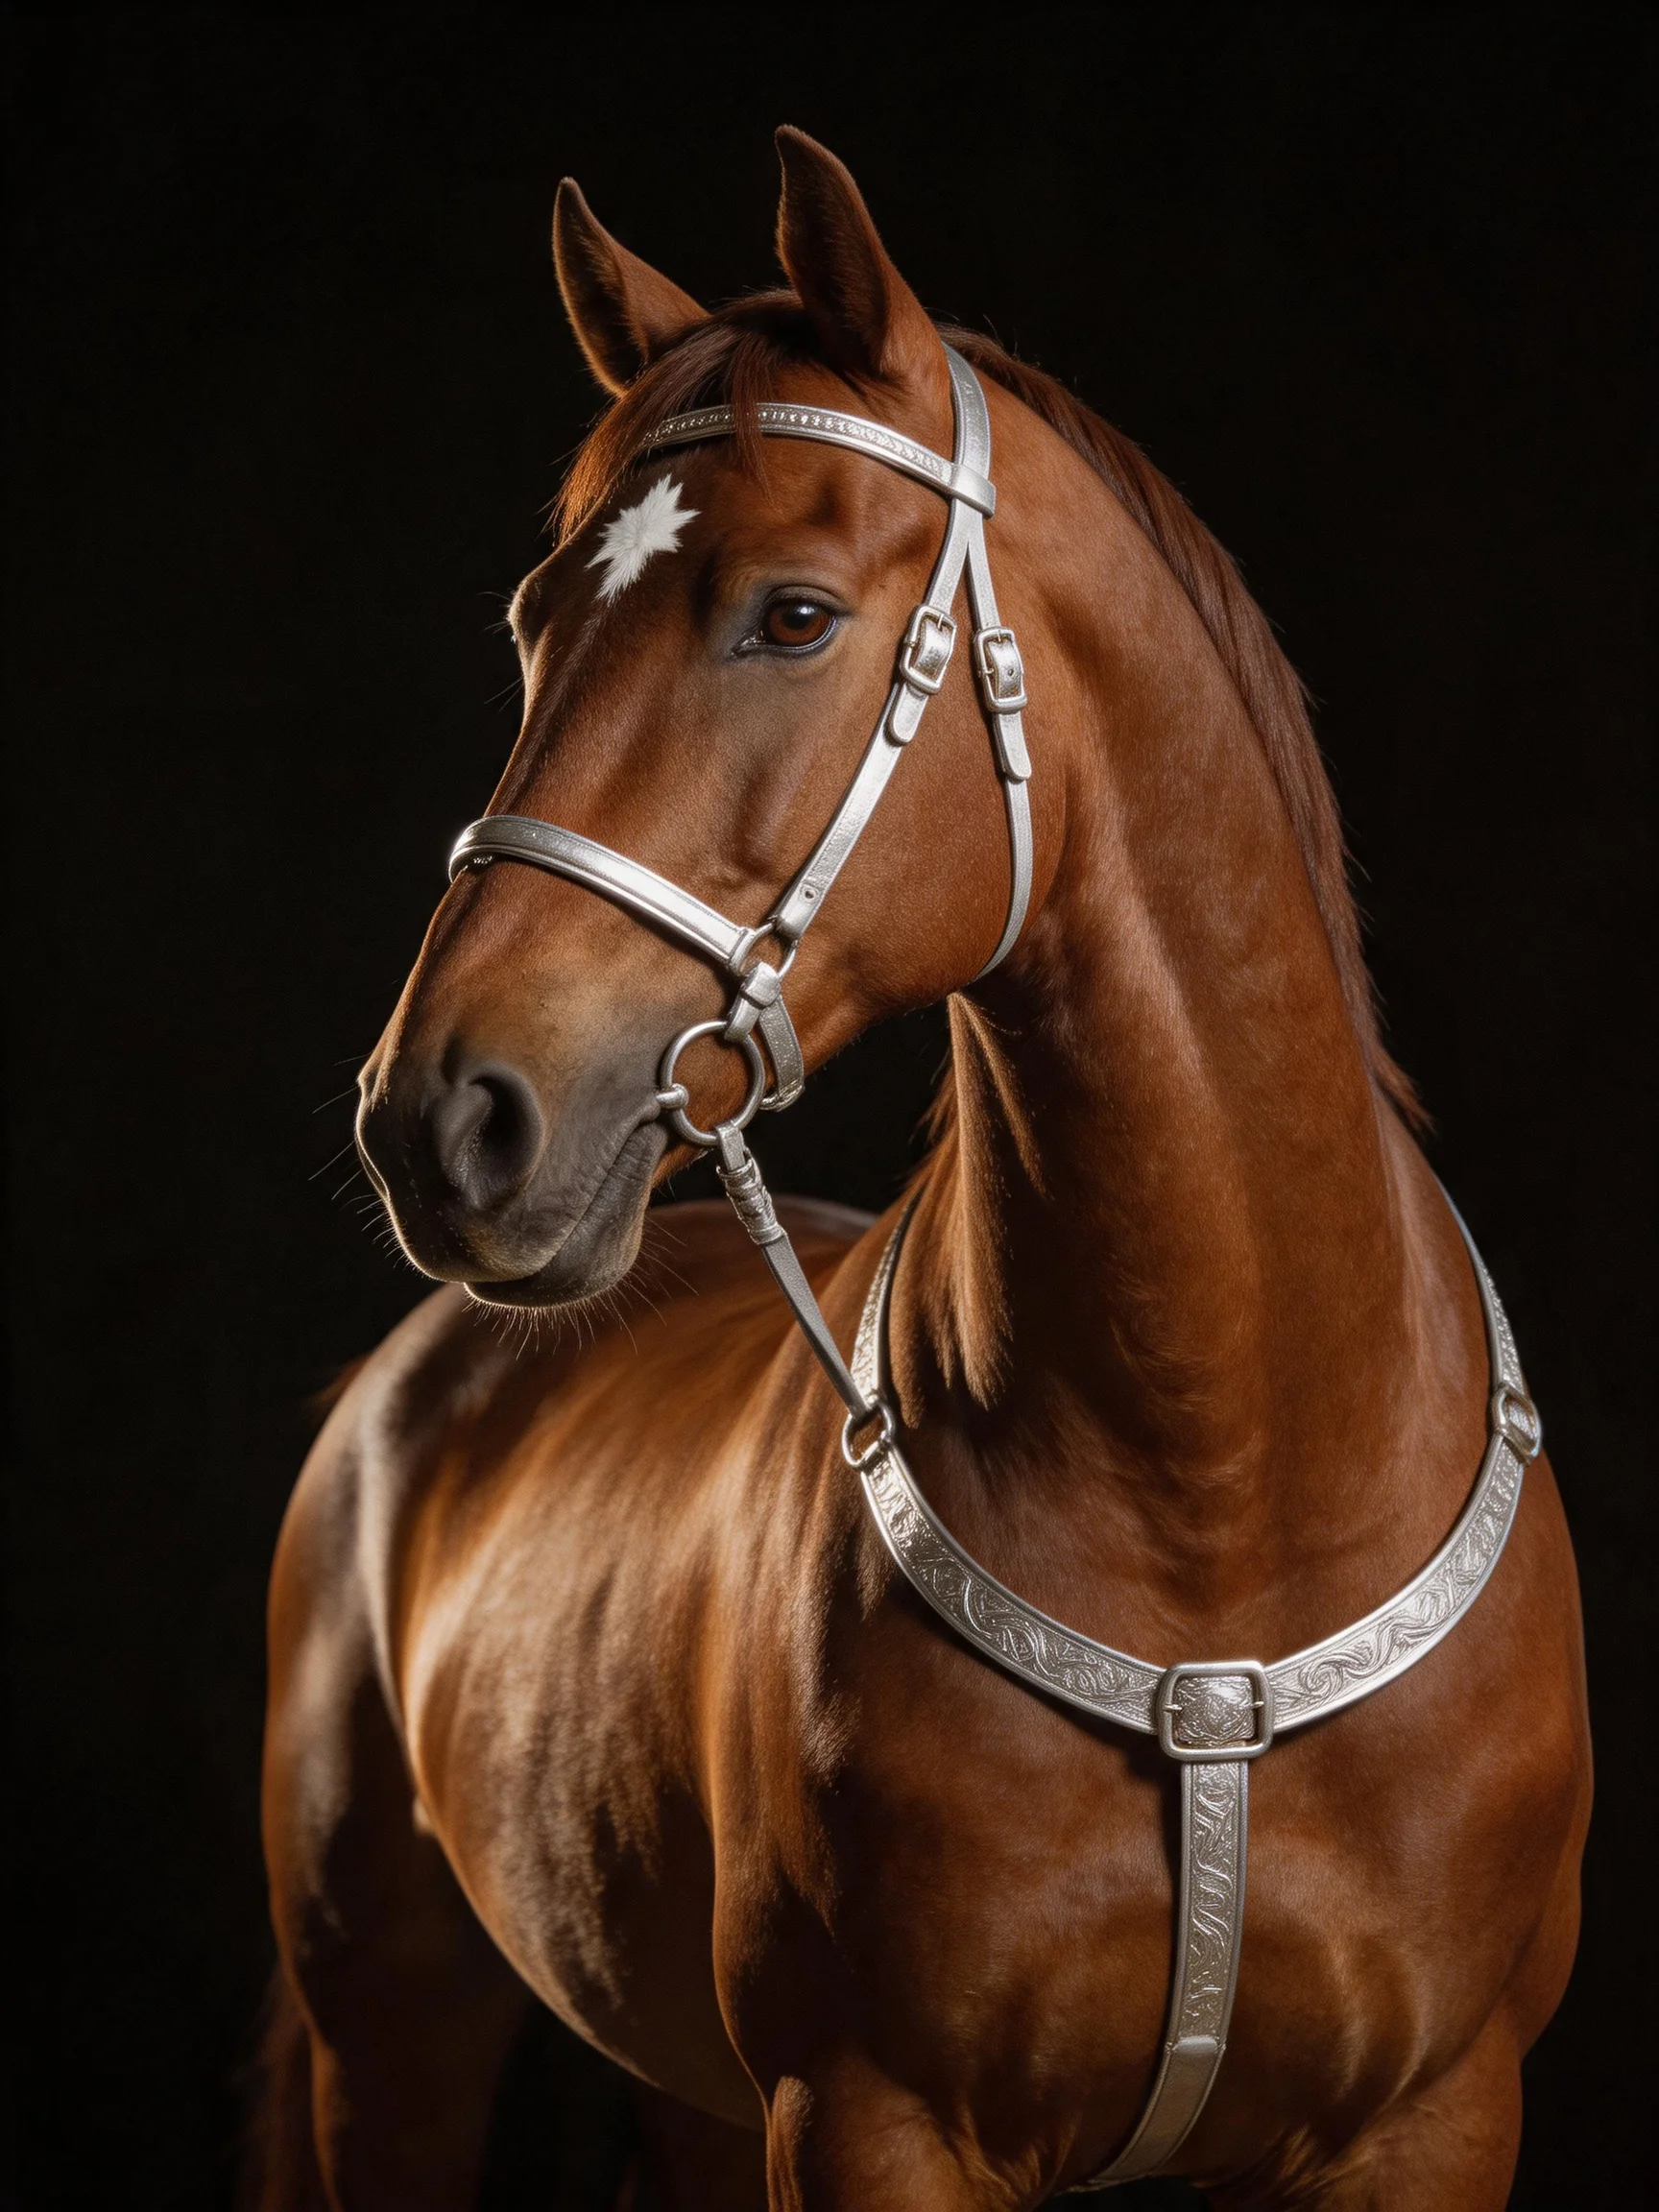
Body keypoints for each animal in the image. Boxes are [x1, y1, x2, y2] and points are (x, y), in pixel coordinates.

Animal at [255, 129, 1590, 2209]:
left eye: (794, 615)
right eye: (536, 619)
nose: (441, 1118)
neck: (1226, 1523)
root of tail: (404, 1386)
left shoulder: (1434, 2119)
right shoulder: (876, 2117)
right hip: (381, 2053)